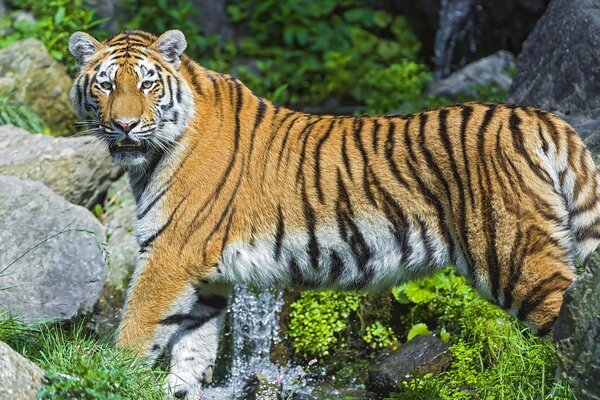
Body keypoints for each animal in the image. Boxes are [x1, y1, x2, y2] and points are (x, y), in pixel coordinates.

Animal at [68, 29, 600, 398]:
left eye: (148, 85)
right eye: (106, 86)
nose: (124, 125)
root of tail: (538, 116)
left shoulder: (171, 254)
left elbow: (137, 327)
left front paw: (107, 375)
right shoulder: (206, 278)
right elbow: (190, 349)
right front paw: (173, 388)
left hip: (516, 255)